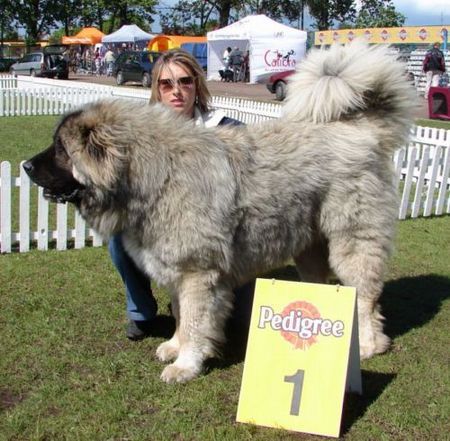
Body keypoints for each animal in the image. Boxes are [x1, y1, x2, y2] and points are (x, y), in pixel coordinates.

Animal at [22, 43, 414, 384]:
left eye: (61, 150)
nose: (25, 165)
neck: (153, 175)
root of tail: (360, 131)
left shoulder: (198, 273)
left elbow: (195, 323)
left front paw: (186, 365)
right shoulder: (178, 271)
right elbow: (181, 317)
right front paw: (174, 347)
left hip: (353, 242)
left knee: (365, 296)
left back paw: (368, 344)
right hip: (309, 247)